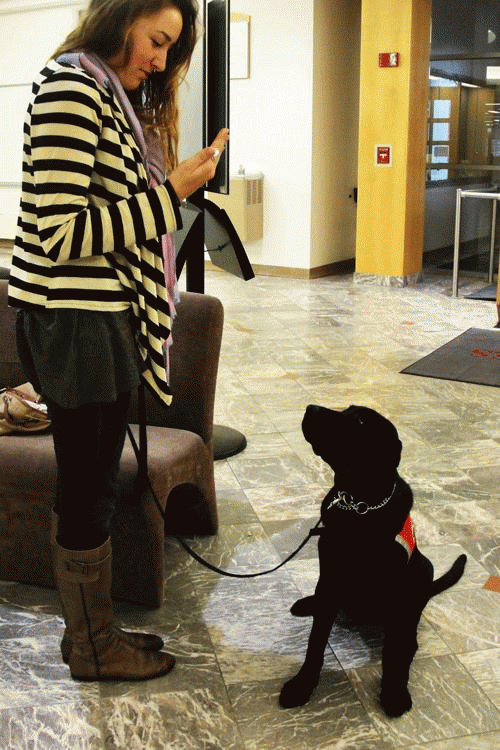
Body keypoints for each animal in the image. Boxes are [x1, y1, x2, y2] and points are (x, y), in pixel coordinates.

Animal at [280, 402, 466, 720]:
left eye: (361, 421)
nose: (310, 407)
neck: (359, 504)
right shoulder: (330, 575)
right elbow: (315, 642)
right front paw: (302, 685)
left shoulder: (395, 591)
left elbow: (393, 653)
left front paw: (394, 692)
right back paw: (308, 603)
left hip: (422, 570)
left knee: (408, 641)